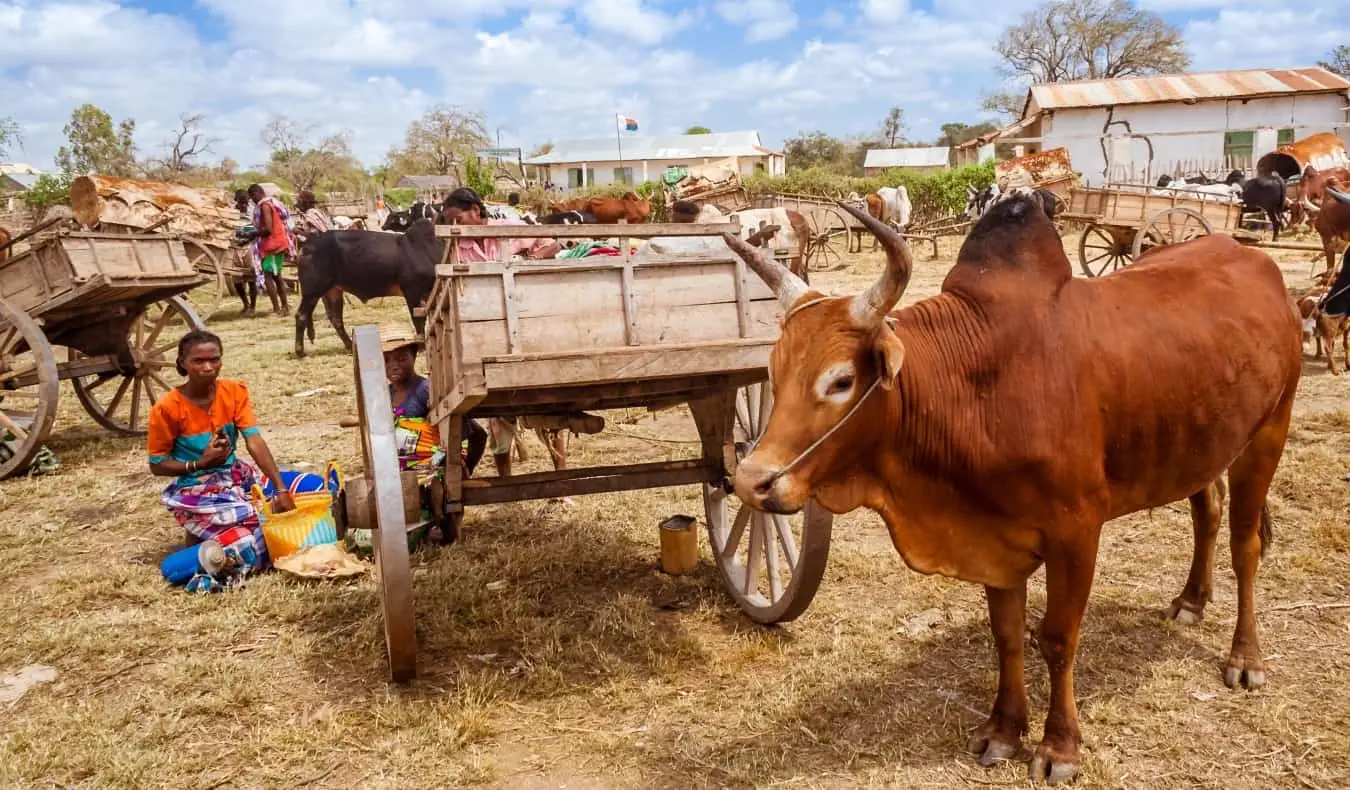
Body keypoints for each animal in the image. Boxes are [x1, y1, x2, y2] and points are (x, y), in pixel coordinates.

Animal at [295, 217, 442, 356]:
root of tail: (310, 241)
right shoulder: (412, 290)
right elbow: (418, 320)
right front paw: (422, 347)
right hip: (312, 291)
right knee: (301, 315)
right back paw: (300, 351)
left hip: (333, 291)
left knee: (335, 318)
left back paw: (349, 346)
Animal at [723, 195, 1301, 783]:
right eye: (772, 372)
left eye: (841, 380)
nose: (752, 481)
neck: (975, 387)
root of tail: (1254, 260)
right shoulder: (993, 537)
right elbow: (1006, 634)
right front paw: (1003, 730)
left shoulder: (1077, 534)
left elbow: (1058, 637)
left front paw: (1059, 747)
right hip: (1198, 443)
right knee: (1208, 510)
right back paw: (1190, 601)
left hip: (1270, 430)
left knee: (1246, 547)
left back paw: (1245, 659)